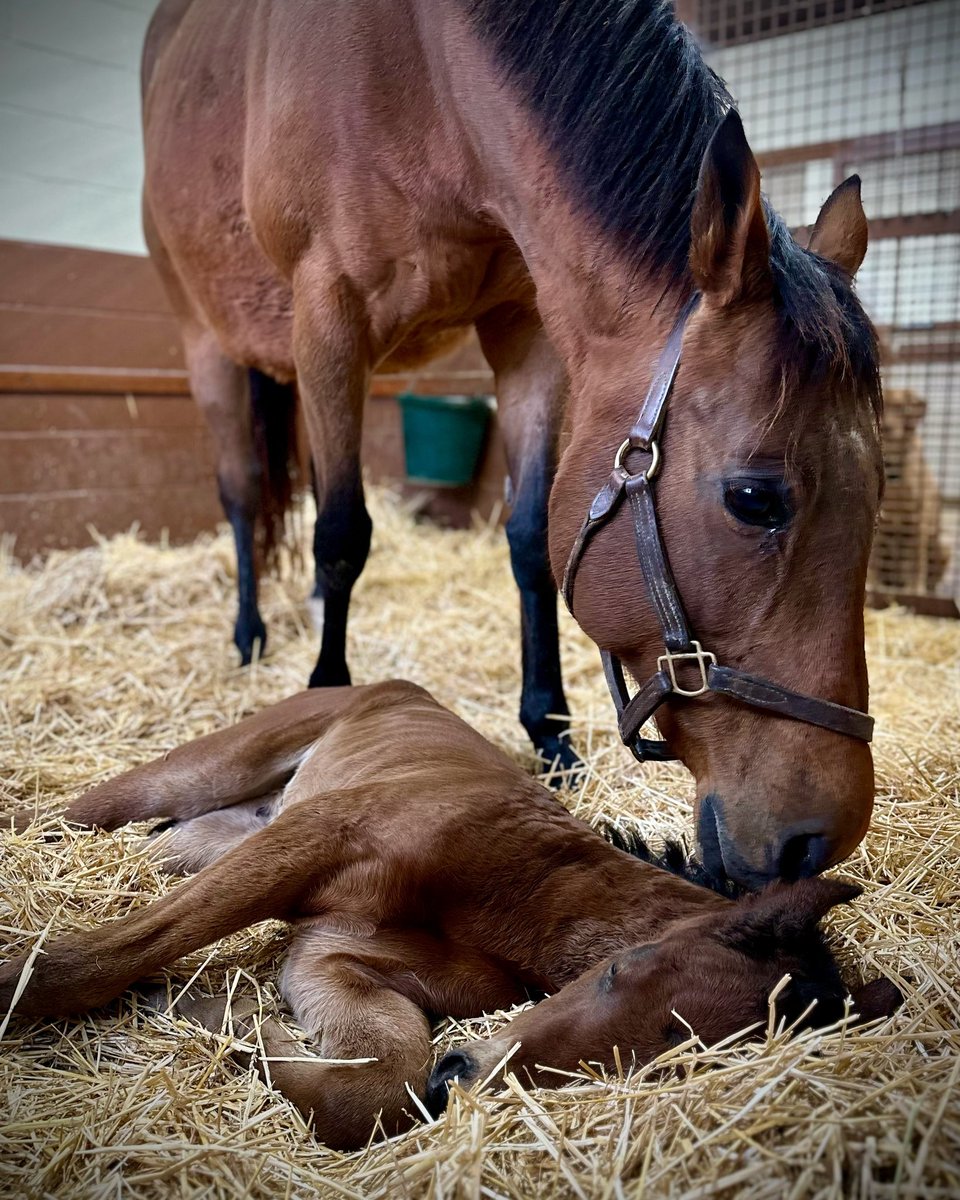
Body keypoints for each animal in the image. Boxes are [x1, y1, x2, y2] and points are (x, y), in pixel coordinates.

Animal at [0, 684, 901, 1151]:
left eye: (665, 1072)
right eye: (619, 971)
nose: (461, 1075)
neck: (527, 891)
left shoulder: (333, 953)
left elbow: (381, 1082)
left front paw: (232, 1027)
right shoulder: (310, 840)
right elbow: (125, 949)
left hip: (210, 837)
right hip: (211, 773)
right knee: (83, 813)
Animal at [141, 0, 884, 888]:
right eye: (753, 499)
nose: (822, 840)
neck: (423, 78)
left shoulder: (526, 328)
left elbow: (530, 540)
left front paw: (551, 733)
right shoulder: (329, 315)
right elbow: (343, 536)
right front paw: (327, 693)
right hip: (210, 346)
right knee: (247, 493)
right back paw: (249, 635)